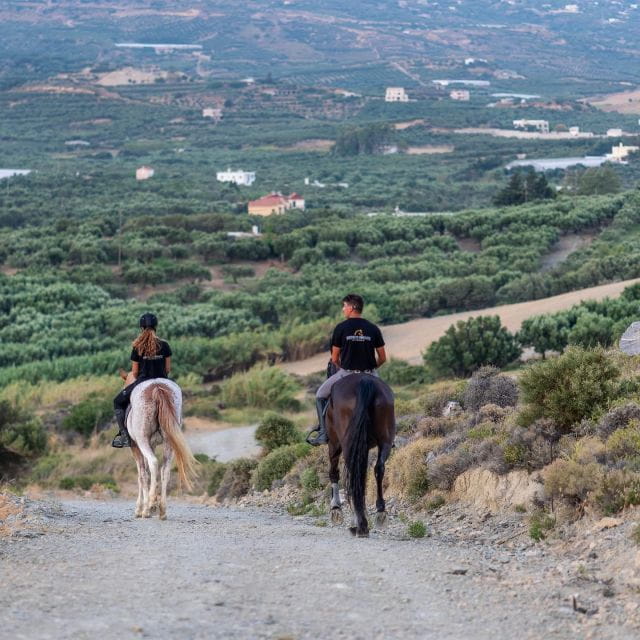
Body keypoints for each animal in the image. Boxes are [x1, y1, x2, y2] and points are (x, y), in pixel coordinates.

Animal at [126, 378, 198, 519]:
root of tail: (157, 386)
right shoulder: (152, 445)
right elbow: (146, 474)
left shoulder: (135, 447)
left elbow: (141, 476)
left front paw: (140, 509)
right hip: (169, 442)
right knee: (165, 471)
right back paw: (162, 510)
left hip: (142, 440)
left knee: (153, 463)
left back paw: (150, 505)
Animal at [326, 373, 395, 537]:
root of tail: (364, 381)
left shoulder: (334, 444)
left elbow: (334, 473)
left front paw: (336, 509)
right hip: (385, 441)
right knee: (378, 468)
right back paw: (379, 513)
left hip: (343, 444)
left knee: (351, 475)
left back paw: (360, 524)